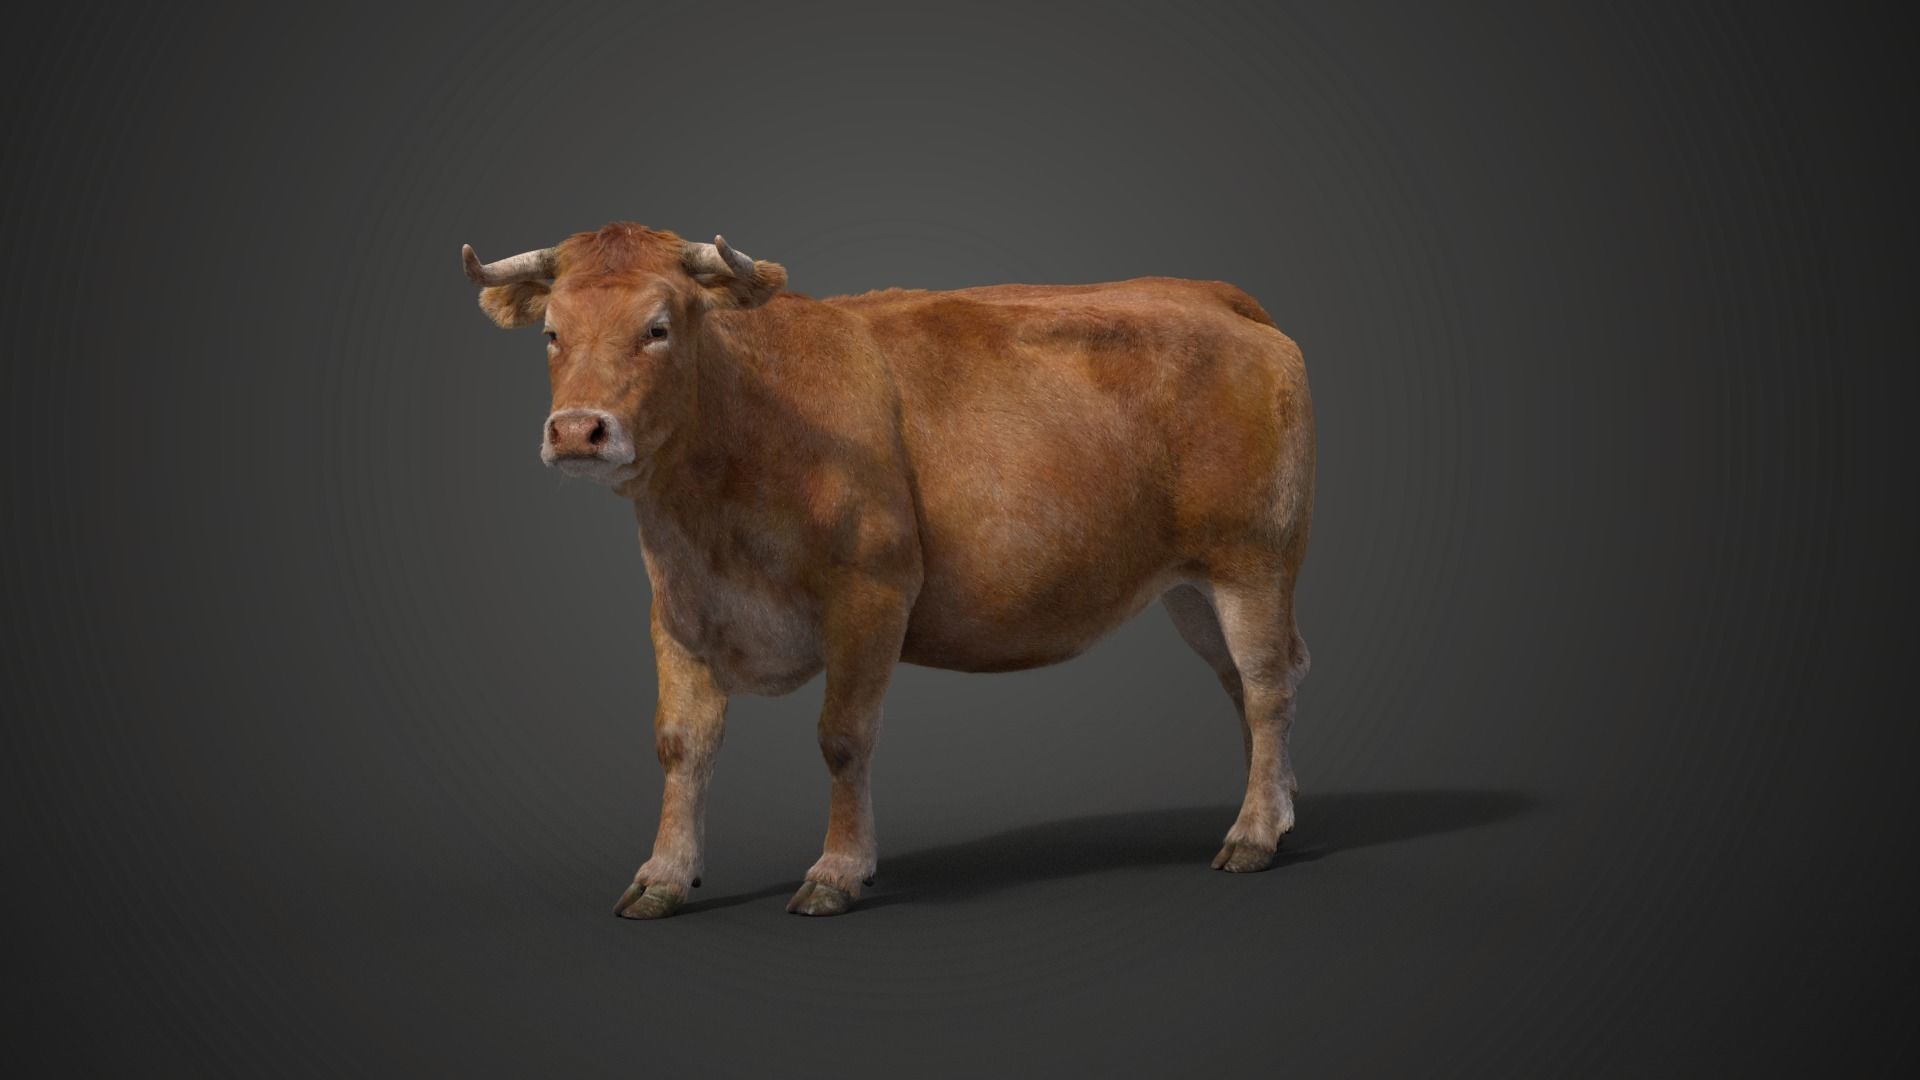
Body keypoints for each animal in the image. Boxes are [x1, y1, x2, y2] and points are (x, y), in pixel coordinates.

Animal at [461, 222, 1314, 918]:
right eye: (551, 332)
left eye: (658, 327)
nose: (578, 430)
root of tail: (1214, 297)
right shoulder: (679, 607)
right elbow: (681, 743)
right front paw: (663, 876)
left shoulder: (870, 592)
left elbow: (843, 736)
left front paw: (836, 871)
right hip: (1191, 586)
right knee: (1244, 683)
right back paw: (1275, 812)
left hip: (1253, 558)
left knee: (1268, 684)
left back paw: (1252, 835)